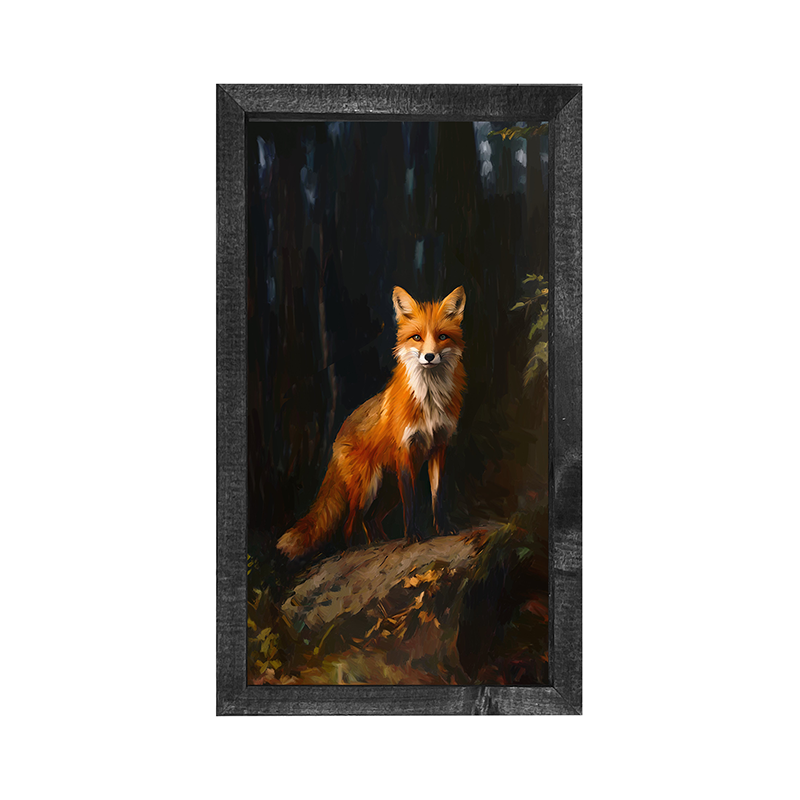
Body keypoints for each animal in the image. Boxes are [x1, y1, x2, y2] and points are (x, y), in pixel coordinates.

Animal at [276, 285, 467, 560]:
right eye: (417, 337)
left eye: (442, 336)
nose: (430, 356)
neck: (430, 400)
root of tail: (338, 435)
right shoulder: (405, 450)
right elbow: (412, 502)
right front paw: (413, 536)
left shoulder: (439, 446)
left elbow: (437, 495)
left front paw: (443, 528)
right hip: (368, 486)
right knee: (349, 524)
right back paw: (357, 548)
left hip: (388, 491)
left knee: (371, 520)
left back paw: (379, 543)